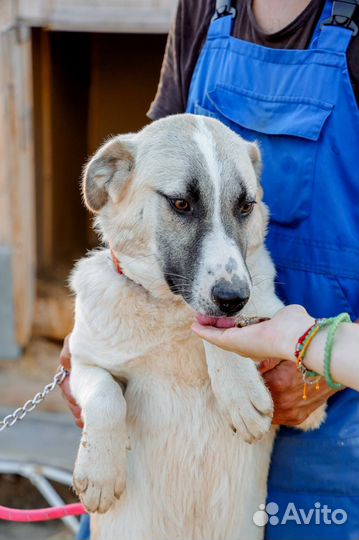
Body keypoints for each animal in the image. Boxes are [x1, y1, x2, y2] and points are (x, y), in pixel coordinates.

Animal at [68, 114, 326, 540]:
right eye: (181, 204)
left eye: (245, 206)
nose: (233, 296)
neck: (171, 315)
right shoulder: (80, 361)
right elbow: (105, 396)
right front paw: (101, 472)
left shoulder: (293, 350)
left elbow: (225, 331)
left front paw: (238, 391)